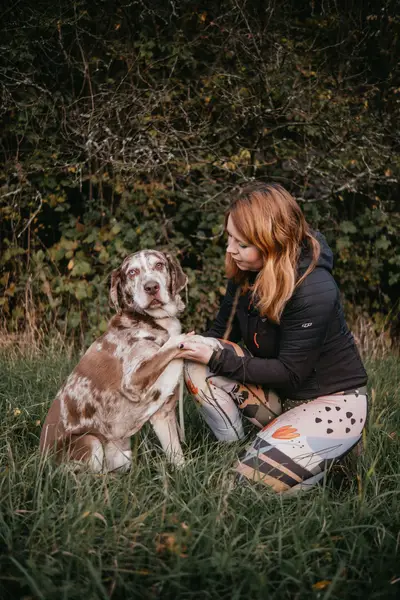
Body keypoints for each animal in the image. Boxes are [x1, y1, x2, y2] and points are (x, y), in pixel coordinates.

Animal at [39, 248, 191, 474]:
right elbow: (167, 349)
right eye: (132, 272)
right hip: (90, 441)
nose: (151, 287)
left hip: (121, 455)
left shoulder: (164, 413)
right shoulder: (132, 382)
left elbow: (177, 455)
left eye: (159, 265)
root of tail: (40, 461)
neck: (153, 321)